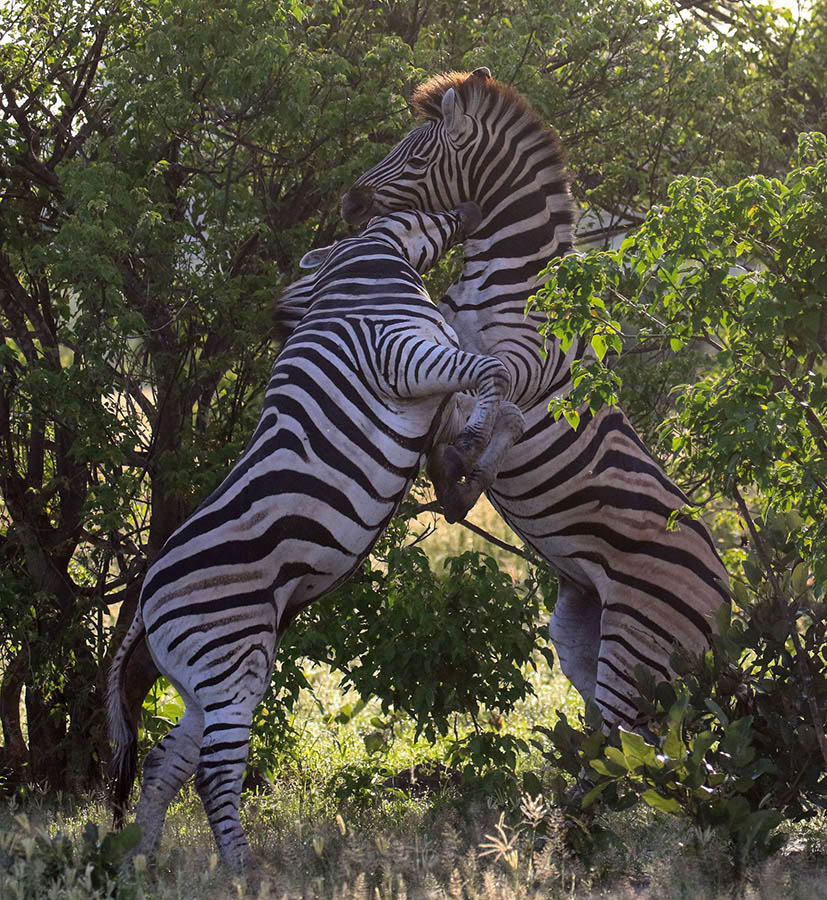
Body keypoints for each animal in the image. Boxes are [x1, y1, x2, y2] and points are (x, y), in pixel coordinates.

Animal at [107, 203, 525, 871]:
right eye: (419, 214)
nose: (470, 211)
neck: (364, 270)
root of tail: (144, 603)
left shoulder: (426, 375)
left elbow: (481, 417)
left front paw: (470, 467)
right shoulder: (400, 355)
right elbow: (492, 373)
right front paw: (478, 436)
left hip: (204, 675)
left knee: (163, 762)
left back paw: (143, 861)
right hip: (234, 658)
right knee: (213, 773)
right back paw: (243, 872)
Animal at [342, 69, 730, 728]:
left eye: (417, 156)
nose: (349, 204)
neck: (506, 281)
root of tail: (729, 597)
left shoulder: (526, 365)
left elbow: (503, 405)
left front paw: (464, 466)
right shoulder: (443, 344)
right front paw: (449, 465)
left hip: (638, 646)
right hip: (586, 637)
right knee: (617, 745)